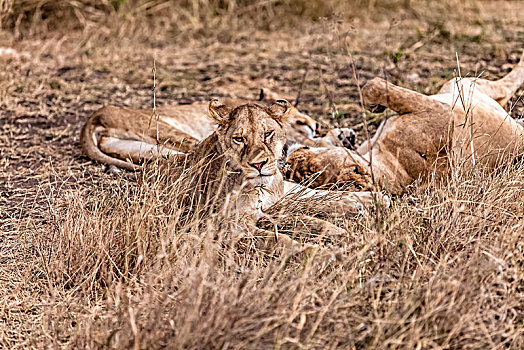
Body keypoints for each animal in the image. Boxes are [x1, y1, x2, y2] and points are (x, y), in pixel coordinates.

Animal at [286, 52, 524, 194]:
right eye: (304, 179)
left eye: (311, 170)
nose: (288, 165)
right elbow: (374, 87)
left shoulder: (441, 111)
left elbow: (373, 85)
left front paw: (372, 107)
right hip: (462, 84)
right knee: (506, 90)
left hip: (460, 83)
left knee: (508, 84)